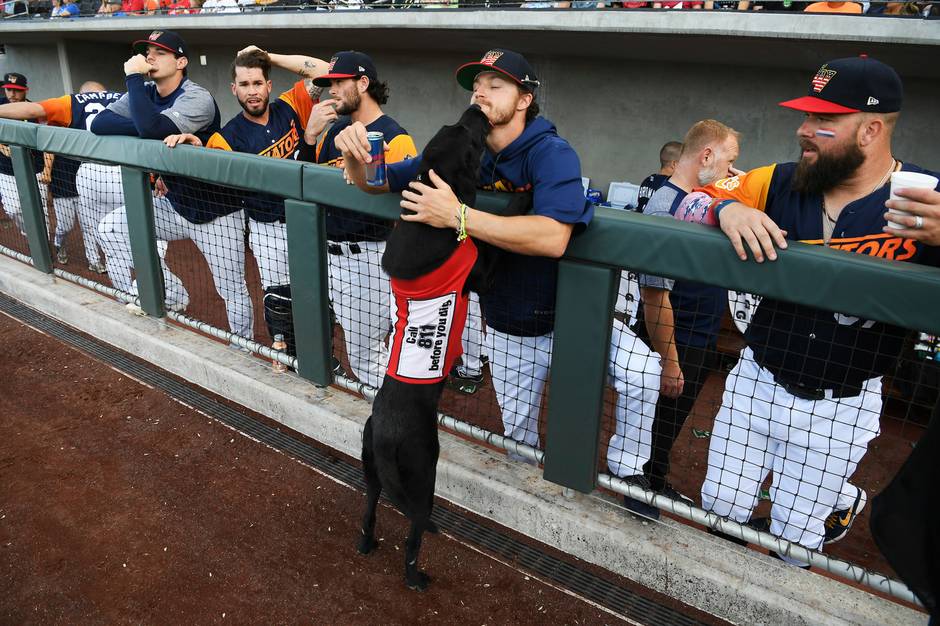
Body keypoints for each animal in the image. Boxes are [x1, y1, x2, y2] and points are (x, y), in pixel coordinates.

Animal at [356, 105, 528, 588]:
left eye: (455, 125)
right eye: (469, 138)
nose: (477, 108)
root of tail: (386, 435)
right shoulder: (481, 274)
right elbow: (491, 242)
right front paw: (522, 197)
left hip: (371, 470)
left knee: (369, 512)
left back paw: (366, 544)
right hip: (422, 475)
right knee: (414, 533)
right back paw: (416, 577)